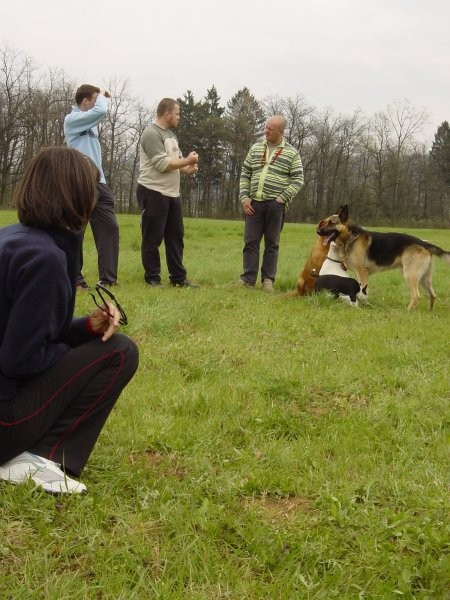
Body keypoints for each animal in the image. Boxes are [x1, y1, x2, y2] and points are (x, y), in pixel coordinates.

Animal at [316, 205, 450, 310]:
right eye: (325, 222)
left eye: (331, 223)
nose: (318, 231)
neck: (350, 236)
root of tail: (424, 243)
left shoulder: (362, 272)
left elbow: (363, 290)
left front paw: (363, 303)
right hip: (423, 278)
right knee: (432, 295)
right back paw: (429, 311)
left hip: (411, 275)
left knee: (416, 296)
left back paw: (407, 311)